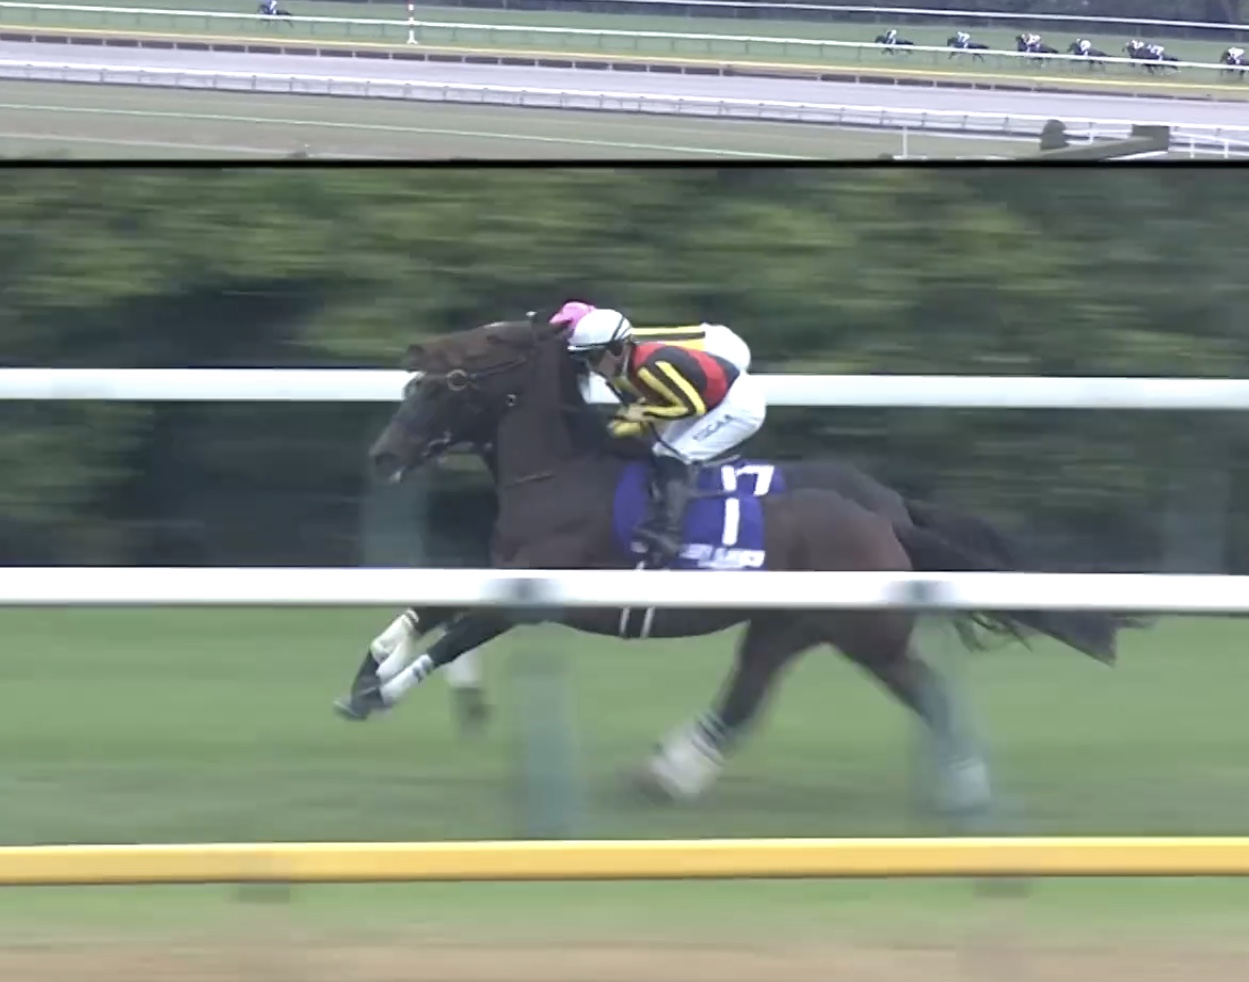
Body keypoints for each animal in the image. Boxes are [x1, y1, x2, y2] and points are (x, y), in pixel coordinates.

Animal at [338, 317, 1139, 814]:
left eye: (456, 375)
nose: (380, 455)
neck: (561, 475)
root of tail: (887, 518)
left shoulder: (529, 598)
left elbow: (450, 641)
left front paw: (381, 695)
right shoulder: (499, 573)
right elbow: (417, 618)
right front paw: (364, 679)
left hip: (865, 637)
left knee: (926, 694)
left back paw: (969, 793)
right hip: (786, 626)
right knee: (746, 695)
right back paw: (667, 775)